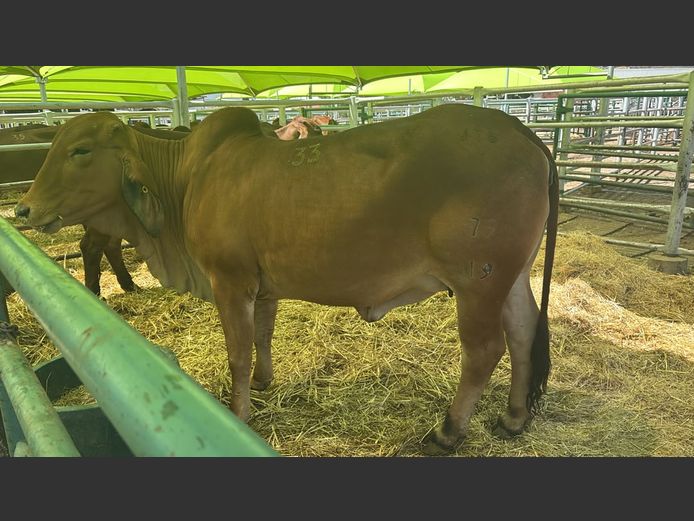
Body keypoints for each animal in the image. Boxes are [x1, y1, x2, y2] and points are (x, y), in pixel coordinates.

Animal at [15, 104, 558, 454]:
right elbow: (262, 334)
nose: (23, 208)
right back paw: (513, 418)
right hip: (512, 276)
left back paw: (448, 430)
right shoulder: (262, 285)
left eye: (80, 150)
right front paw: (263, 381)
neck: (187, 178)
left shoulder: (230, 281)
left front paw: (237, 411)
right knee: (523, 331)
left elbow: (236, 351)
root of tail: (523, 132)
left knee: (484, 350)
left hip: (477, 281)